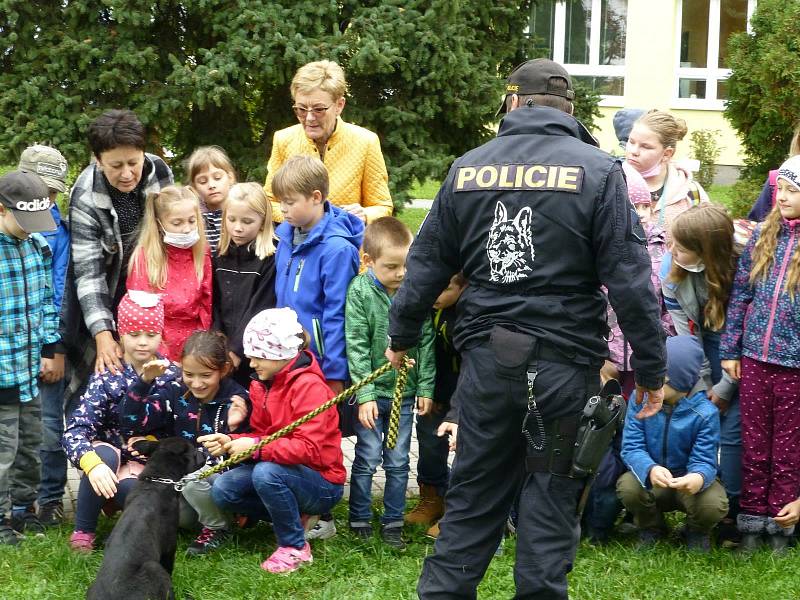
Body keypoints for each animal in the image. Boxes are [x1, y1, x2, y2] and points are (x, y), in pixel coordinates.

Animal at [86, 436, 206, 600]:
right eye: (194, 450)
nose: (205, 454)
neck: (157, 478)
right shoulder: (169, 544)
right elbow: (169, 567)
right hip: (154, 568)